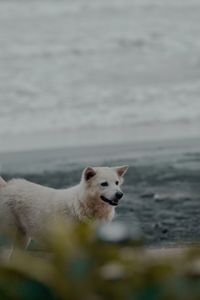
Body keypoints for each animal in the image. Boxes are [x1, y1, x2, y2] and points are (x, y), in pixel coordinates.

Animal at [0, 165, 128, 243]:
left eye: (117, 183)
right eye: (104, 184)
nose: (120, 194)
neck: (80, 205)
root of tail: (7, 185)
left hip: (22, 238)